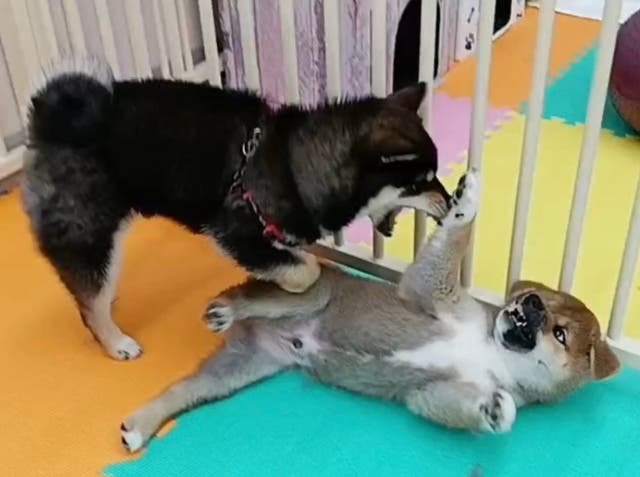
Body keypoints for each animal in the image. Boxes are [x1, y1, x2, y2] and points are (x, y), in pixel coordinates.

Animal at [22, 57, 451, 360]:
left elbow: (294, 262)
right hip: (86, 230)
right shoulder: (238, 231)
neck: (294, 163)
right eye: (421, 181)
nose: (450, 202)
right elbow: (306, 271)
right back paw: (115, 341)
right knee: (89, 305)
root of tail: (48, 124)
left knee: (90, 288)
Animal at [119, 170, 620, 452]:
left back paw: (142, 425)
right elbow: (454, 238)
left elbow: (465, 405)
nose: (528, 302)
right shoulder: (432, 292)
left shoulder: (430, 393)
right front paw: (468, 199)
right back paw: (227, 306)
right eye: (540, 299)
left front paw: (496, 413)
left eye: (559, 332)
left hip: (243, 368)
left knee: (184, 390)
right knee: (253, 294)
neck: (492, 350)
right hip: (313, 293)